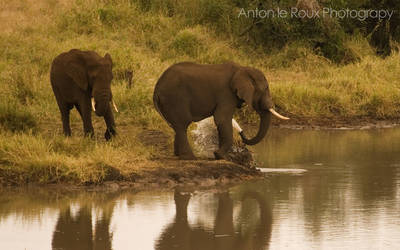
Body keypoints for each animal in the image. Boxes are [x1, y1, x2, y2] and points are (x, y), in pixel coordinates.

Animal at [152, 61, 288, 159]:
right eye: (265, 89)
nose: (241, 132)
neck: (241, 69)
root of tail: (156, 89)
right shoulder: (226, 94)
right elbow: (222, 119)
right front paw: (220, 156)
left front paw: (219, 155)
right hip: (175, 98)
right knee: (182, 125)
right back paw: (190, 158)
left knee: (177, 126)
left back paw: (178, 155)